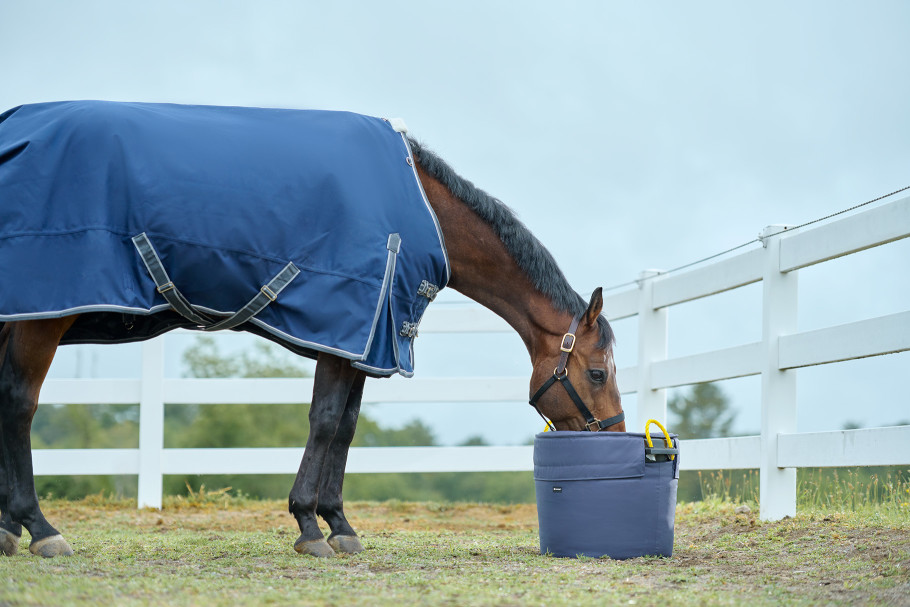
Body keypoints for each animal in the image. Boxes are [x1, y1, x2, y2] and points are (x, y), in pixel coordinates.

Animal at [0, 101, 628, 560]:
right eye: (597, 373)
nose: (614, 434)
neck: (422, 210)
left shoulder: (366, 340)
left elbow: (345, 428)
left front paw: (338, 523)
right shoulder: (347, 327)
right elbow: (325, 422)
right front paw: (309, 525)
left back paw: (10, 528)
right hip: (41, 319)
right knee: (20, 405)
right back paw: (40, 528)